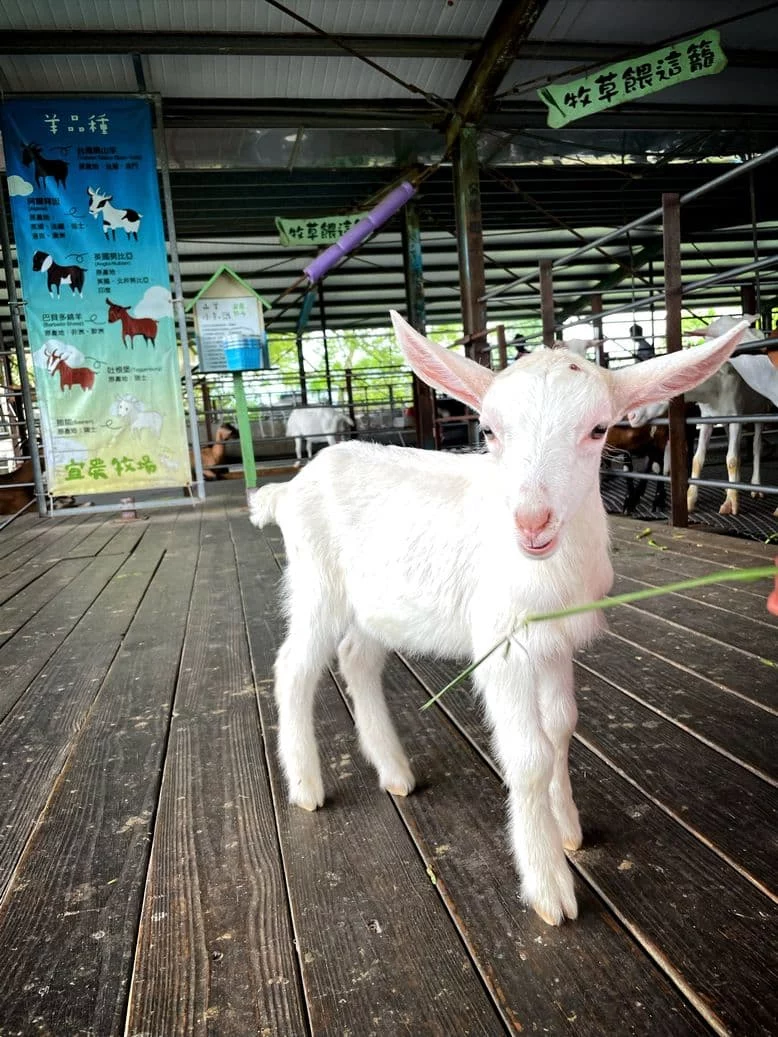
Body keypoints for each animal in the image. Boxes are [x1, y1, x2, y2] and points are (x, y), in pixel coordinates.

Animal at [248, 310, 748, 927]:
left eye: (598, 430)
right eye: (487, 431)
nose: (532, 522)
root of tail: (289, 487)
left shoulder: (556, 643)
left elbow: (561, 728)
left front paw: (569, 830)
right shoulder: (501, 645)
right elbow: (528, 756)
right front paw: (549, 887)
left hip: (377, 601)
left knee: (356, 658)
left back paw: (396, 773)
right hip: (317, 582)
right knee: (294, 668)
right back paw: (307, 787)